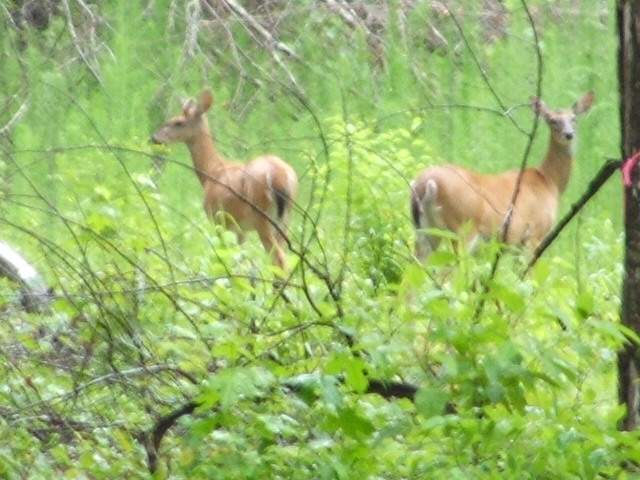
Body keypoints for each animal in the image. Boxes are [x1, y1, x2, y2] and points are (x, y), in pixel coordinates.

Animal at [151, 89, 299, 272]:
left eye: (178, 122)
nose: (154, 138)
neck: (211, 171)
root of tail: (280, 176)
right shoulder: (241, 230)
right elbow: (240, 261)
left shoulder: (217, 219)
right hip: (286, 219)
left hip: (262, 218)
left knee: (279, 260)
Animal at [410, 91, 595, 262]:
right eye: (552, 120)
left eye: (574, 119)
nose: (568, 134)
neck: (549, 181)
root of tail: (426, 182)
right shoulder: (534, 234)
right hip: (462, 229)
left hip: (425, 231)